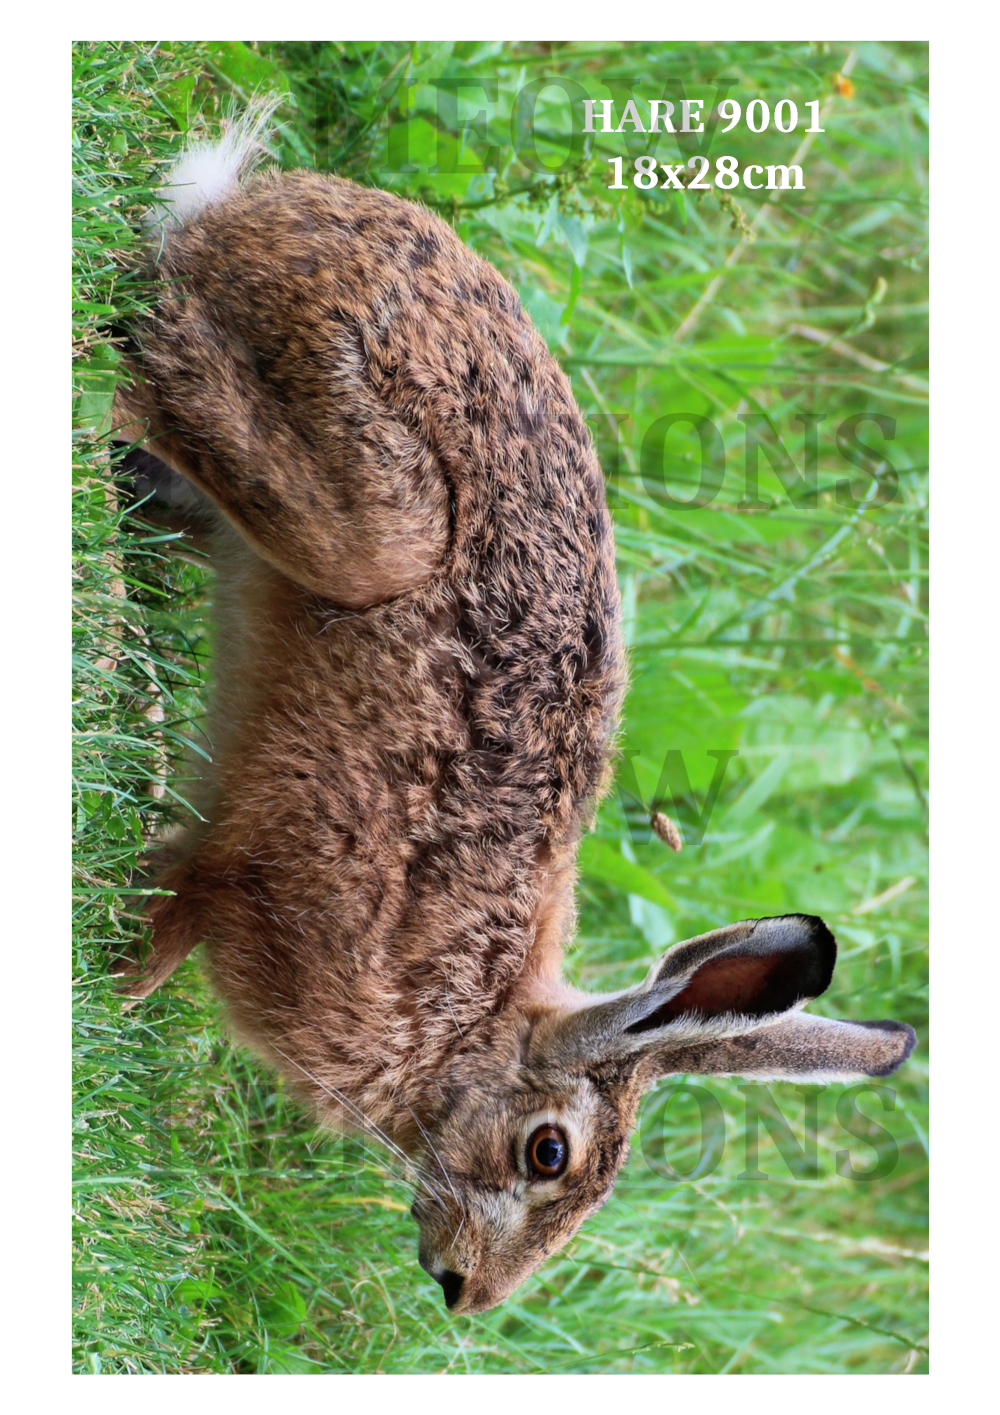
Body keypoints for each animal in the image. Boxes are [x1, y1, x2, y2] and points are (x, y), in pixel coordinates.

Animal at [113, 107, 916, 1315]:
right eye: (549, 1152)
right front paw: (102, 986)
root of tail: (280, 209)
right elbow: (161, 922)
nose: (468, 1295)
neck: (467, 1020)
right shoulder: (252, 870)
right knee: (153, 351)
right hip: (370, 503)